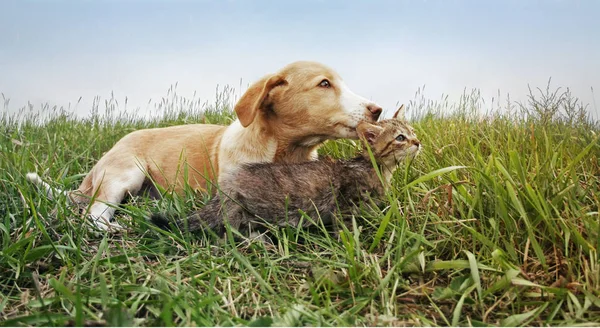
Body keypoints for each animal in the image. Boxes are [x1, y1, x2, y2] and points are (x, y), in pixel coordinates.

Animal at [27, 60, 380, 231]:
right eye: (324, 84)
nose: (377, 110)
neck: (285, 152)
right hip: (123, 174)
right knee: (94, 216)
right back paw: (117, 226)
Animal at [150, 105, 422, 236]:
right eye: (400, 138)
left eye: (412, 132)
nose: (418, 142)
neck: (375, 168)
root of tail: (226, 189)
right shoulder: (344, 204)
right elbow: (346, 226)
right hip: (249, 210)